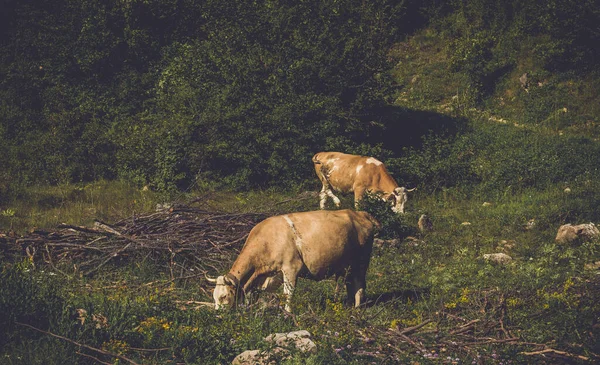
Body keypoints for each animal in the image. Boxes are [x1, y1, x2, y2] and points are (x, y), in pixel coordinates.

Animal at [206, 209, 376, 312]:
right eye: (214, 296)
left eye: (223, 296)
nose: (218, 314)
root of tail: (360, 213)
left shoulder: (291, 268)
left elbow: (288, 294)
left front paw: (287, 314)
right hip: (348, 265)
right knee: (349, 282)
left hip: (361, 261)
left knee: (359, 284)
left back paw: (357, 309)